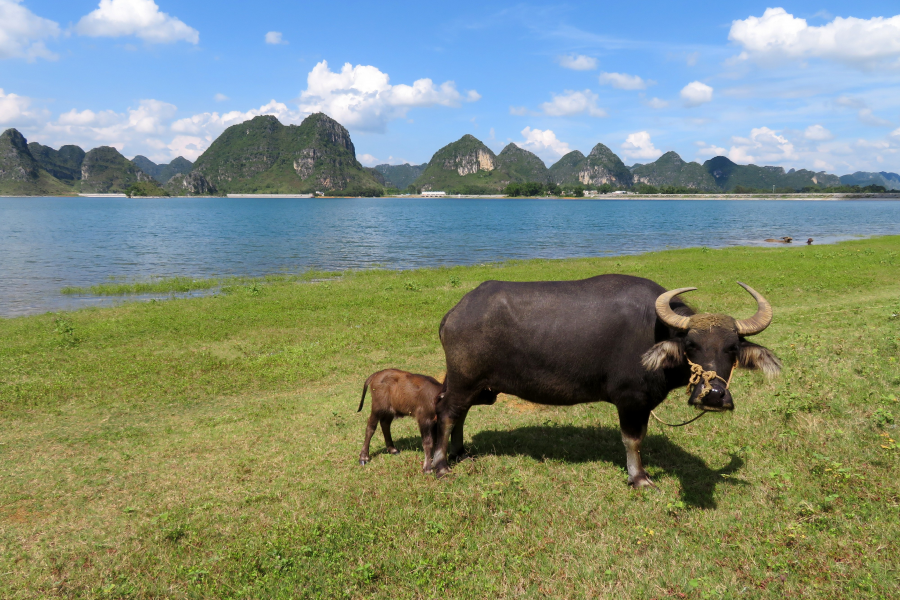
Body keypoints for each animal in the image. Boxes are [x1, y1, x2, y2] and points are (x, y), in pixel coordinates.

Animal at [430, 274, 780, 486]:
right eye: (691, 345)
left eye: (732, 348)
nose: (714, 395)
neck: (654, 330)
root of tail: (454, 313)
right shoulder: (630, 399)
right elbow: (632, 439)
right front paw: (638, 478)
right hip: (464, 380)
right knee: (446, 413)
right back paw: (440, 464)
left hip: (477, 386)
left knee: (459, 413)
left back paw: (459, 452)